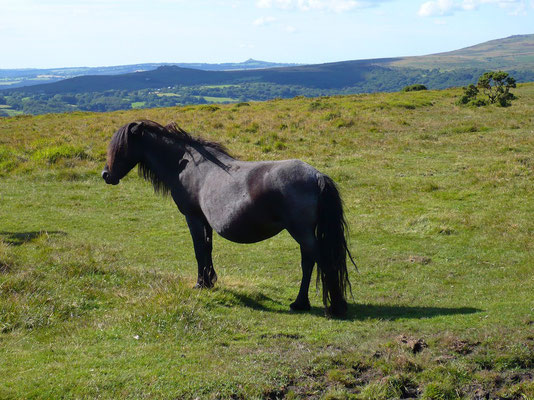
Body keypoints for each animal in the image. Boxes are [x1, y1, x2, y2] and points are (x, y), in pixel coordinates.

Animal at [103, 120, 356, 318]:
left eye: (121, 147)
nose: (106, 175)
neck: (187, 165)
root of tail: (317, 176)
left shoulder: (193, 218)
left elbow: (198, 250)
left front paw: (200, 283)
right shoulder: (205, 221)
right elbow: (207, 249)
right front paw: (209, 281)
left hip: (301, 231)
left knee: (314, 260)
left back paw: (313, 304)